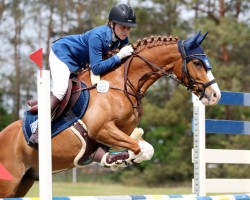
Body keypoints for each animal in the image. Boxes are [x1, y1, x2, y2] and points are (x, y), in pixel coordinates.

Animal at [0, 31, 221, 197]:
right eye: (197, 63)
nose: (215, 95)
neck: (121, 85)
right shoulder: (101, 129)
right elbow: (136, 147)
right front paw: (119, 159)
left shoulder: (120, 131)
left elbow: (145, 149)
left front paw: (116, 158)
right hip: (9, 184)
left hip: (25, 181)